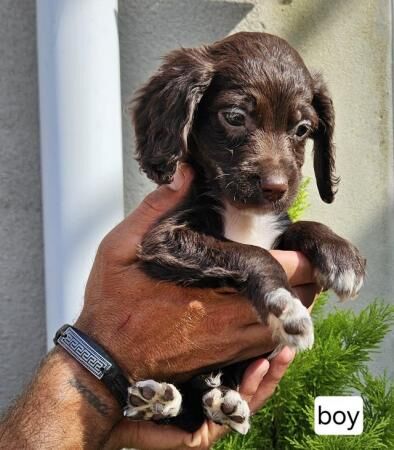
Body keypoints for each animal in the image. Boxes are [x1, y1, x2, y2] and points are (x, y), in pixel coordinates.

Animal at [124, 31, 366, 432]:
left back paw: (220, 401)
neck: (244, 215)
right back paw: (157, 401)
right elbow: (252, 253)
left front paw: (340, 254)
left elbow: (298, 226)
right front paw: (283, 306)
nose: (276, 187)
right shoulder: (164, 240)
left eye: (302, 129)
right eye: (235, 117)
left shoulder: (278, 227)